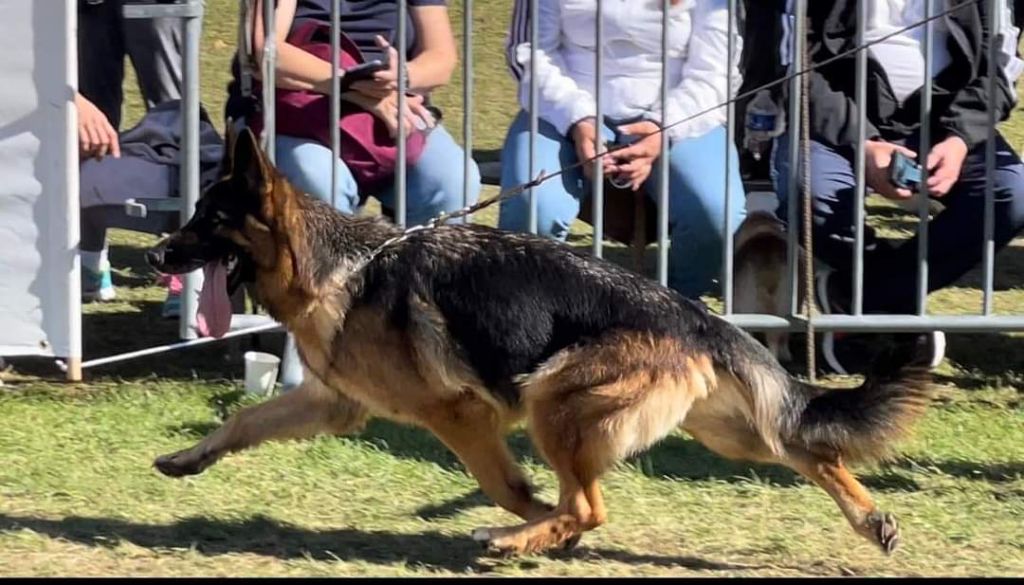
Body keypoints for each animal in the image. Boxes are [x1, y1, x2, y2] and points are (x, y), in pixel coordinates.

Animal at [146, 128, 937, 557]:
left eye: (209, 218)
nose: (156, 255)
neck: (339, 264)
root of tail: (696, 317)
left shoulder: (459, 415)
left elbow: (509, 485)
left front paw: (533, 527)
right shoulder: (333, 403)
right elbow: (244, 419)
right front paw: (189, 457)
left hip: (554, 400)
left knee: (590, 502)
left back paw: (512, 541)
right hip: (723, 432)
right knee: (811, 447)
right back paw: (871, 520)